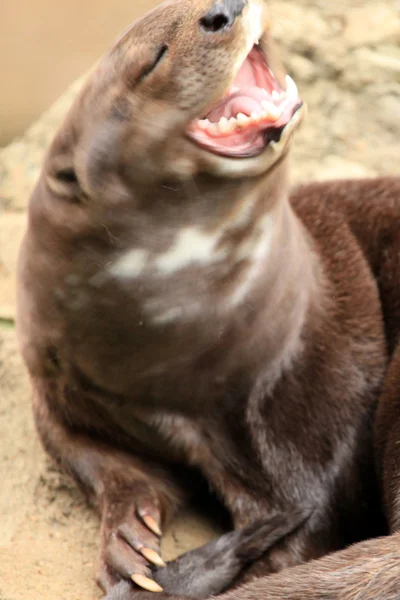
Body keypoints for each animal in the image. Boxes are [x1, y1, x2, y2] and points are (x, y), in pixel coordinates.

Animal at [17, 0, 400, 596]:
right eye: (154, 58)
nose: (225, 10)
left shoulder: (305, 429)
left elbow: (302, 536)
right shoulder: (57, 379)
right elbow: (82, 451)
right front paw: (130, 533)